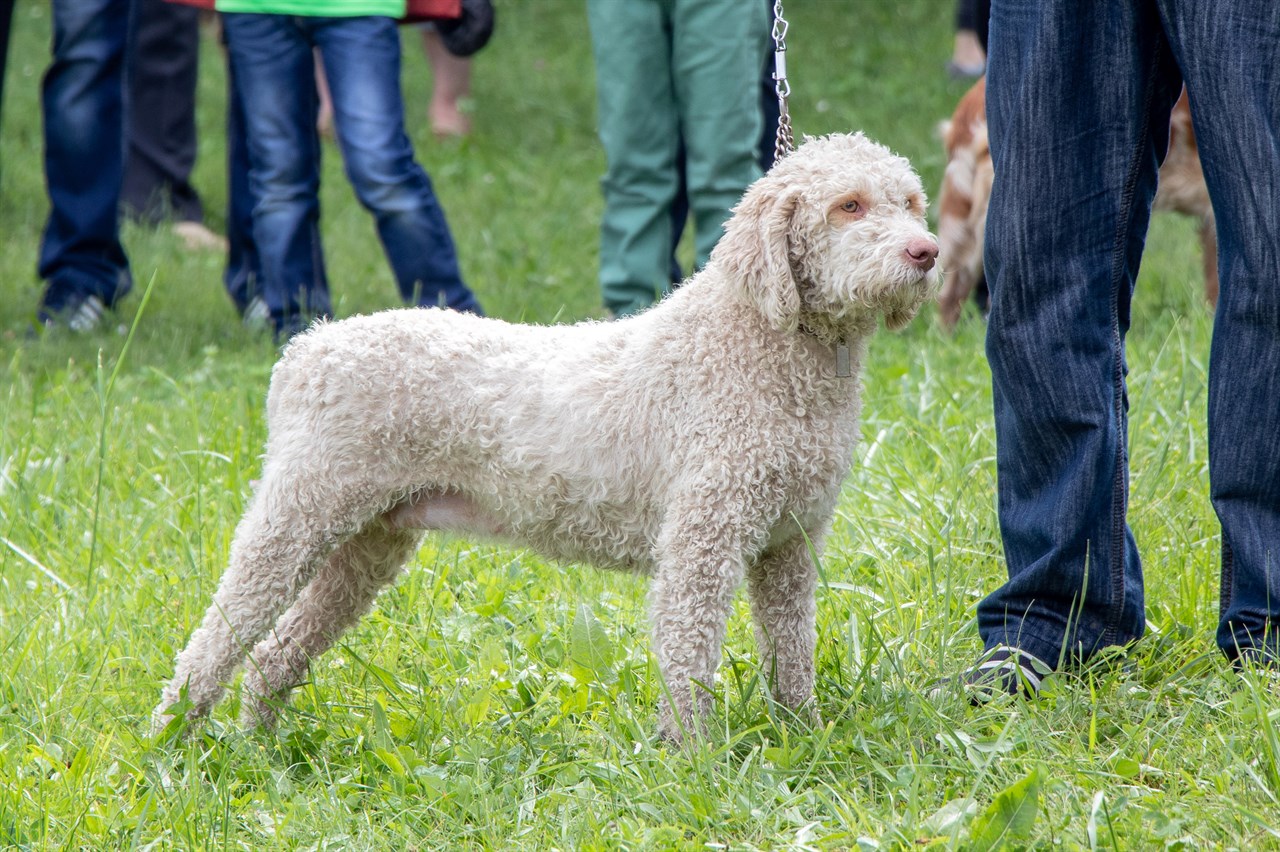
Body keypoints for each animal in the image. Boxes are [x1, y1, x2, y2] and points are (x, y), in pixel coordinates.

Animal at [157, 131, 942, 736]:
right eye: (848, 205)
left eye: (910, 201)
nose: (927, 251)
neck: (759, 350)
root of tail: (305, 351)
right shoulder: (702, 544)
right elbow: (688, 658)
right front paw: (693, 759)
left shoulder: (787, 546)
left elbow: (791, 649)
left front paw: (802, 735)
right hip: (297, 517)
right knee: (214, 641)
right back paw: (174, 745)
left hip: (368, 544)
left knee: (274, 652)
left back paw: (260, 740)